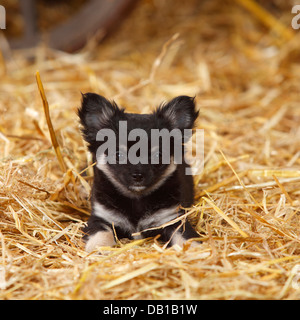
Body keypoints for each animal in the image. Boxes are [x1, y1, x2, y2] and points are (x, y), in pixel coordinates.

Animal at [78, 93, 199, 252]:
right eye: (118, 155)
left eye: (158, 156)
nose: (138, 175)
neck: (136, 199)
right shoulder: (101, 218)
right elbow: (101, 234)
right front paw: (99, 248)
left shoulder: (173, 219)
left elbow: (186, 237)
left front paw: (194, 250)